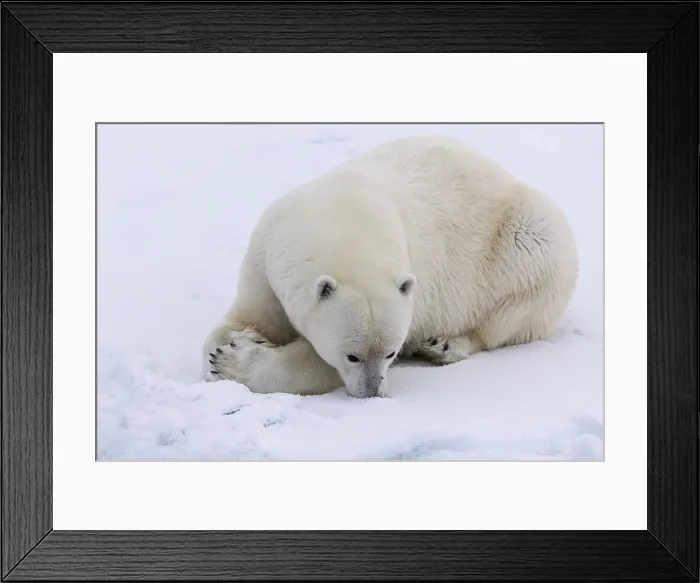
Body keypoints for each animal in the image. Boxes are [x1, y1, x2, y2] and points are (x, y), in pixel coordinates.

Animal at [203, 135, 578, 398]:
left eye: (390, 353)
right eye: (353, 356)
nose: (373, 392)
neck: (343, 217)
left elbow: (317, 364)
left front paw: (233, 362)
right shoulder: (265, 258)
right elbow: (246, 318)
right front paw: (239, 340)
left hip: (529, 245)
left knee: (508, 314)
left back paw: (443, 345)